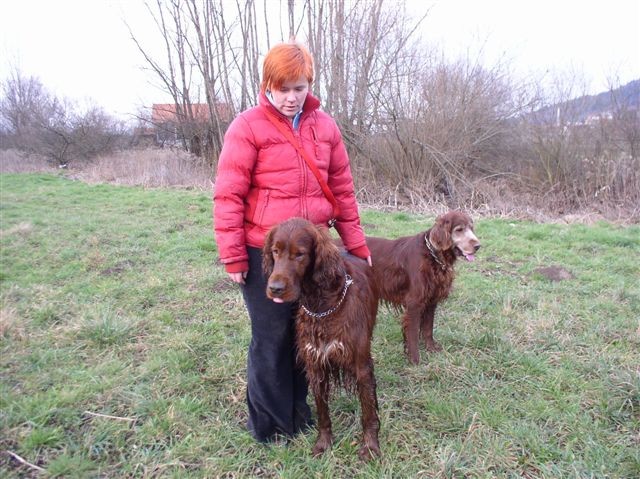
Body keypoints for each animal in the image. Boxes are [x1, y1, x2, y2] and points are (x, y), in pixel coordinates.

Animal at [364, 212, 480, 366]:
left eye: (472, 228)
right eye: (459, 230)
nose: (478, 246)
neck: (433, 255)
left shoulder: (431, 301)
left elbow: (428, 328)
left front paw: (431, 348)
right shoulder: (414, 303)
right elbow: (413, 333)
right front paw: (414, 359)